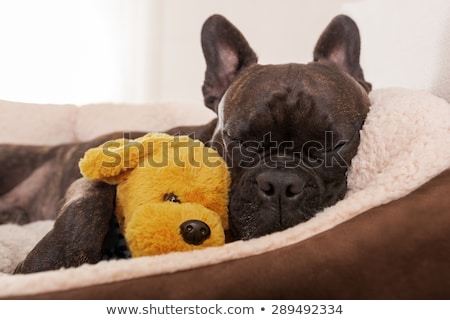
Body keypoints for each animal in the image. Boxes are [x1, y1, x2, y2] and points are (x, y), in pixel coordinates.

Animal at [1, 13, 370, 272]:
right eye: (239, 141)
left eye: (333, 146)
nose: (280, 183)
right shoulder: (92, 179)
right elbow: (88, 205)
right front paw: (53, 263)